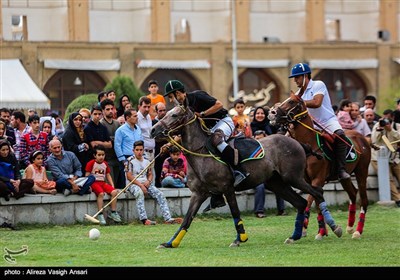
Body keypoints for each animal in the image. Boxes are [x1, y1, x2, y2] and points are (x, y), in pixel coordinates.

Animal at [150, 103, 340, 247]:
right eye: (165, 113)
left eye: (174, 115)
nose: (153, 130)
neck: (201, 154)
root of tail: (299, 143)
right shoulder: (199, 193)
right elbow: (187, 219)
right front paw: (171, 243)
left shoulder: (227, 188)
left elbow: (235, 212)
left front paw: (240, 238)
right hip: (276, 183)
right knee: (301, 202)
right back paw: (294, 236)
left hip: (294, 177)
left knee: (317, 193)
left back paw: (334, 227)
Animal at [268, 91, 372, 238]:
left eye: (292, 101)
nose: (272, 113)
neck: (309, 145)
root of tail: (363, 138)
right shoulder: (307, 180)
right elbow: (316, 203)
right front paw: (321, 231)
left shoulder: (318, 179)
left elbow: (311, 200)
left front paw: (309, 228)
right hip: (344, 176)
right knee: (352, 192)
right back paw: (350, 227)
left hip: (362, 171)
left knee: (363, 199)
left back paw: (358, 231)